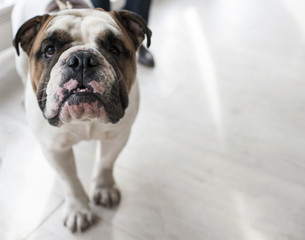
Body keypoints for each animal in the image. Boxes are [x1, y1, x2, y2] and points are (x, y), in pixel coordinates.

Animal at [11, 0, 151, 232]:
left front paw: (104, 189)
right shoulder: (55, 149)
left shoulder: (117, 137)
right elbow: (70, 180)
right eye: (49, 50)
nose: (82, 59)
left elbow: (106, 163)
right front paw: (78, 210)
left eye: (114, 49)